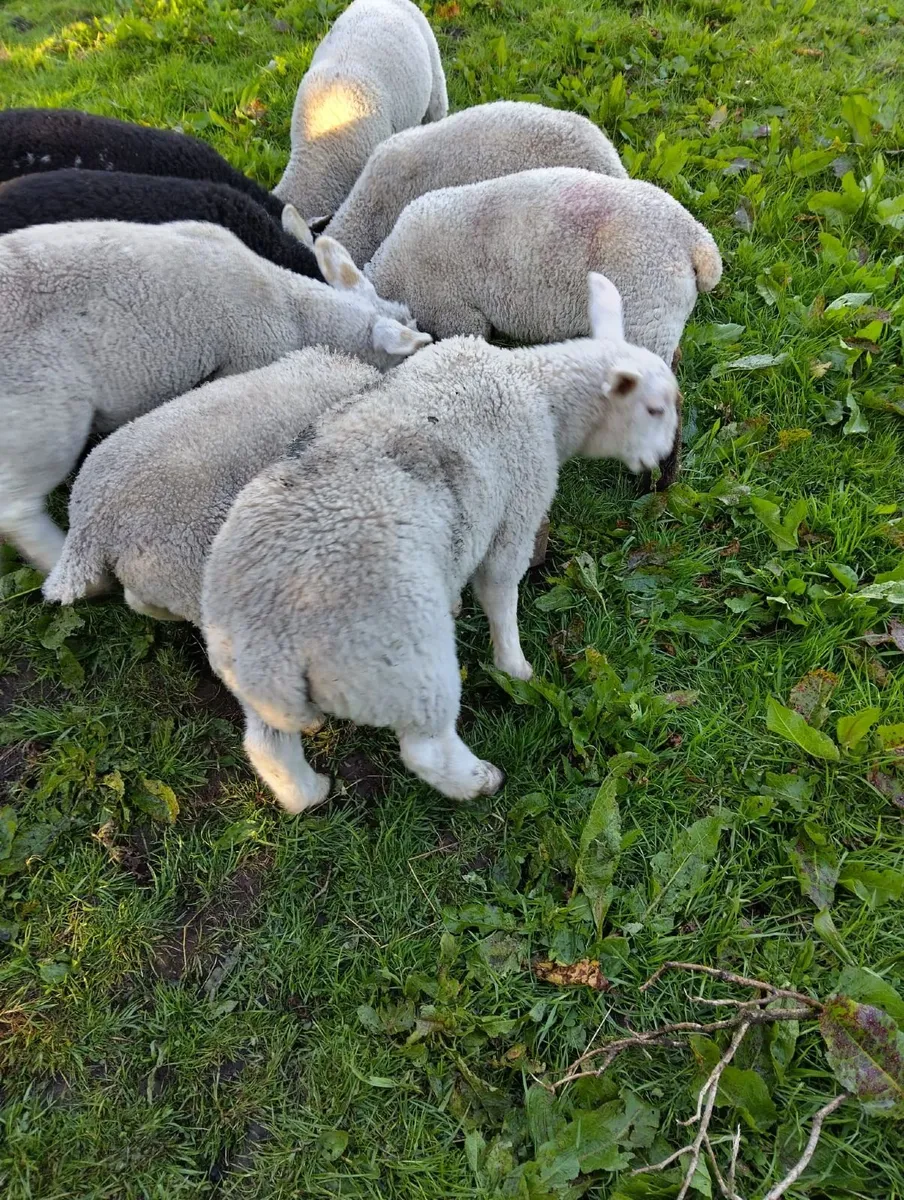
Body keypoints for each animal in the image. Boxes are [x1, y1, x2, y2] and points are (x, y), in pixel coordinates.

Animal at [200, 274, 680, 813]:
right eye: (654, 408)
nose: (663, 461)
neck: (538, 390)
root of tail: (274, 648)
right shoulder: (517, 510)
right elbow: (500, 593)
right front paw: (515, 668)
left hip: (251, 679)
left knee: (267, 746)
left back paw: (309, 792)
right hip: (407, 668)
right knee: (425, 750)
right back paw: (479, 780)